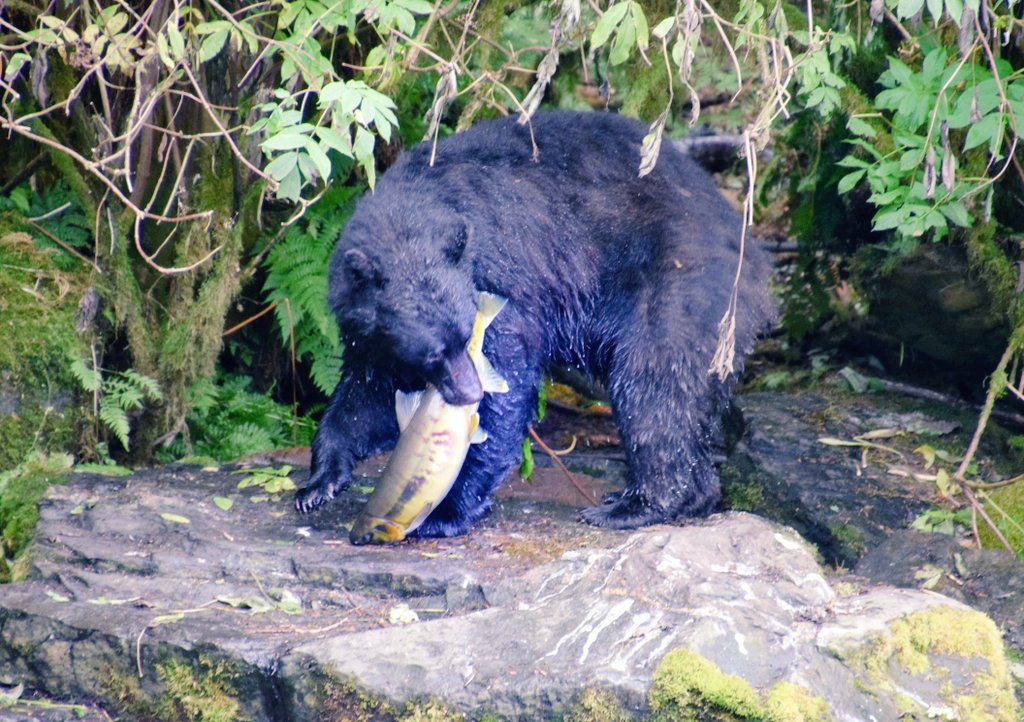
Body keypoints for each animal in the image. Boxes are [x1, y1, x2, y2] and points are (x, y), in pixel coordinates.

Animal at [294, 110, 775, 538]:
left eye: (466, 336)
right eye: (434, 352)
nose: (470, 392)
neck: (416, 207)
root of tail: (749, 249)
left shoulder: (500, 280)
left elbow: (508, 378)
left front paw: (446, 511)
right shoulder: (371, 333)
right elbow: (366, 393)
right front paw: (319, 481)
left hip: (676, 288)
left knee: (652, 389)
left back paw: (634, 505)